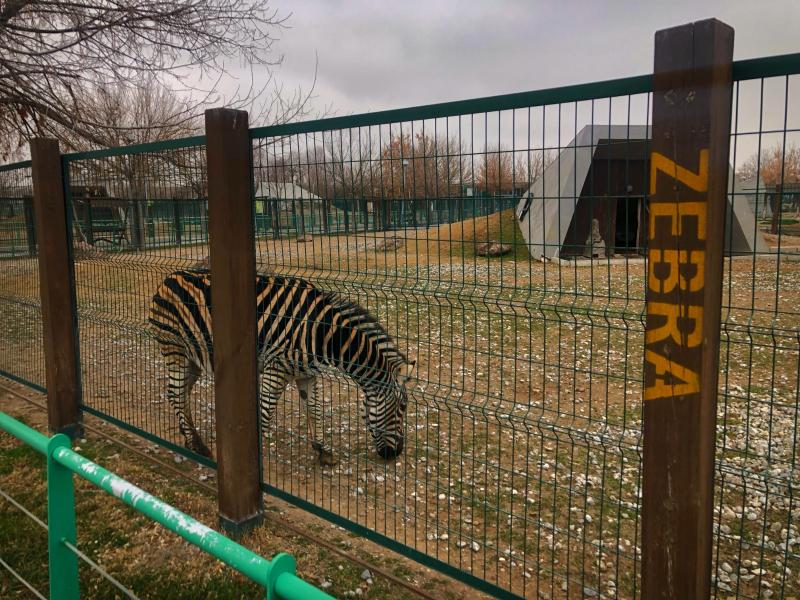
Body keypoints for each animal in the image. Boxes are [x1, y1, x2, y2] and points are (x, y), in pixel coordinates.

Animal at [146, 270, 416, 466]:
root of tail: (169, 278)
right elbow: (265, 414)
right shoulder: (275, 370)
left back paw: (190, 438)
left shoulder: (307, 373)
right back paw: (198, 445)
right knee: (175, 393)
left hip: (193, 358)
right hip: (175, 349)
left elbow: (315, 410)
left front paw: (323, 451)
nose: (396, 453)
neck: (323, 335)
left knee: (181, 393)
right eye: (402, 406)